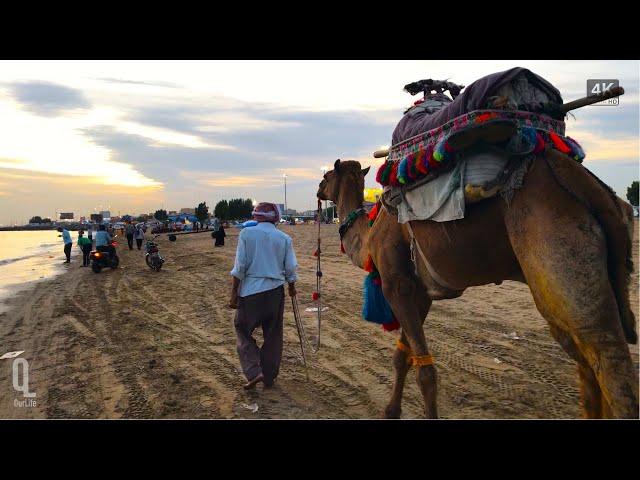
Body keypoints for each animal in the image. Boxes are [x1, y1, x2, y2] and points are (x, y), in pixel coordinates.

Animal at [318, 151, 636, 420]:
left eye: (326, 176)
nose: (319, 190)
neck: (370, 236)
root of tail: (587, 184)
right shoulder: (420, 293)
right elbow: (402, 356)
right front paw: (390, 411)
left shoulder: (397, 285)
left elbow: (425, 371)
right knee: (588, 366)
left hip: (558, 251)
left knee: (609, 359)